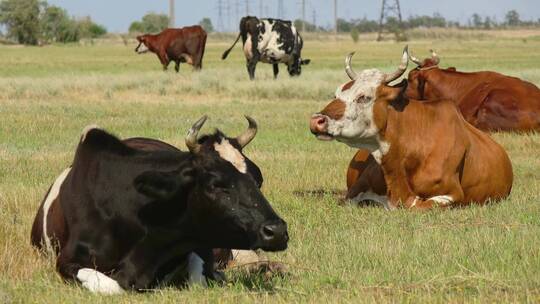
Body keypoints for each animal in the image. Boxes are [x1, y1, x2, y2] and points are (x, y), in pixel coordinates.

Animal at [31, 116, 288, 294]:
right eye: (215, 184)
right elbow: (113, 286)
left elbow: (199, 279)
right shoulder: (66, 261)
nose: (277, 231)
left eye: (256, 181)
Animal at [310, 47, 512, 209]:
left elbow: (416, 205)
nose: (316, 120)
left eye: (364, 97)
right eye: (336, 94)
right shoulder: (354, 191)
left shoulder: (452, 194)